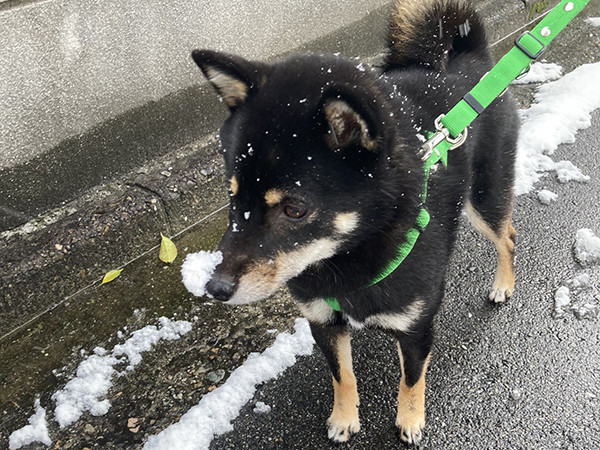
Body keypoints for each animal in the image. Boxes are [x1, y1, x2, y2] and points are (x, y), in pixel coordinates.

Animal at [191, 0, 516, 442]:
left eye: (295, 209)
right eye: (232, 194)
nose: (216, 288)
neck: (346, 256)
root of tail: (473, 61)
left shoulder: (416, 326)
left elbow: (412, 380)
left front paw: (410, 420)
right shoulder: (322, 320)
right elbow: (341, 375)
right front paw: (343, 418)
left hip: (484, 199)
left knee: (507, 237)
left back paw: (503, 285)